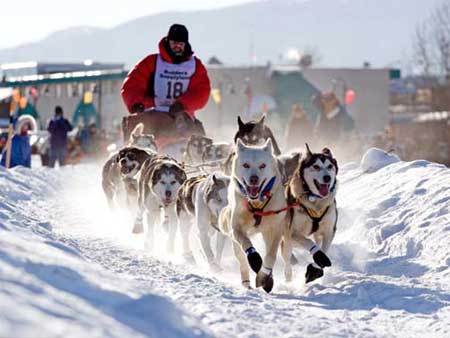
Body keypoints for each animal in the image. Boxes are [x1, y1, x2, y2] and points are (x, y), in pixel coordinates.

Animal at [219, 139, 286, 292]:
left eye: (262, 165)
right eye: (246, 165)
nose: (254, 179)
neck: (256, 204)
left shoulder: (275, 230)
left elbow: (271, 256)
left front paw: (265, 276)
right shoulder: (236, 229)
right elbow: (247, 246)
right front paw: (255, 261)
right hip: (235, 243)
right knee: (242, 261)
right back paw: (246, 283)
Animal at [282, 145, 338, 282]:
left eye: (330, 166)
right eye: (316, 166)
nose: (327, 177)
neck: (315, 202)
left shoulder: (329, 231)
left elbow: (324, 249)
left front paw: (316, 268)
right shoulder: (293, 233)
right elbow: (309, 243)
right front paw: (318, 255)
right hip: (288, 238)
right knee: (286, 255)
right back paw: (288, 275)